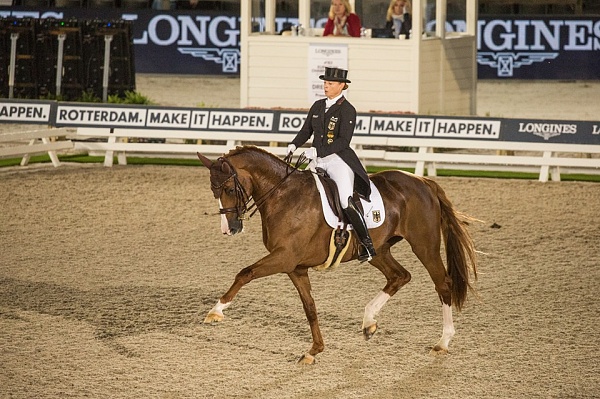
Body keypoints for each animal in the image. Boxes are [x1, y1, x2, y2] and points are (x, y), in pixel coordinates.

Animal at [198, 146, 478, 366]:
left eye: (229, 189)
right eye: (213, 191)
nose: (229, 229)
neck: (283, 196)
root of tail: (422, 181)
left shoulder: (284, 258)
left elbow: (245, 273)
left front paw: (216, 311)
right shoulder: (295, 267)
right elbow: (310, 307)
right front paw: (314, 351)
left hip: (424, 245)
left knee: (442, 284)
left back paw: (442, 342)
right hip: (379, 249)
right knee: (399, 276)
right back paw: (368, 322)